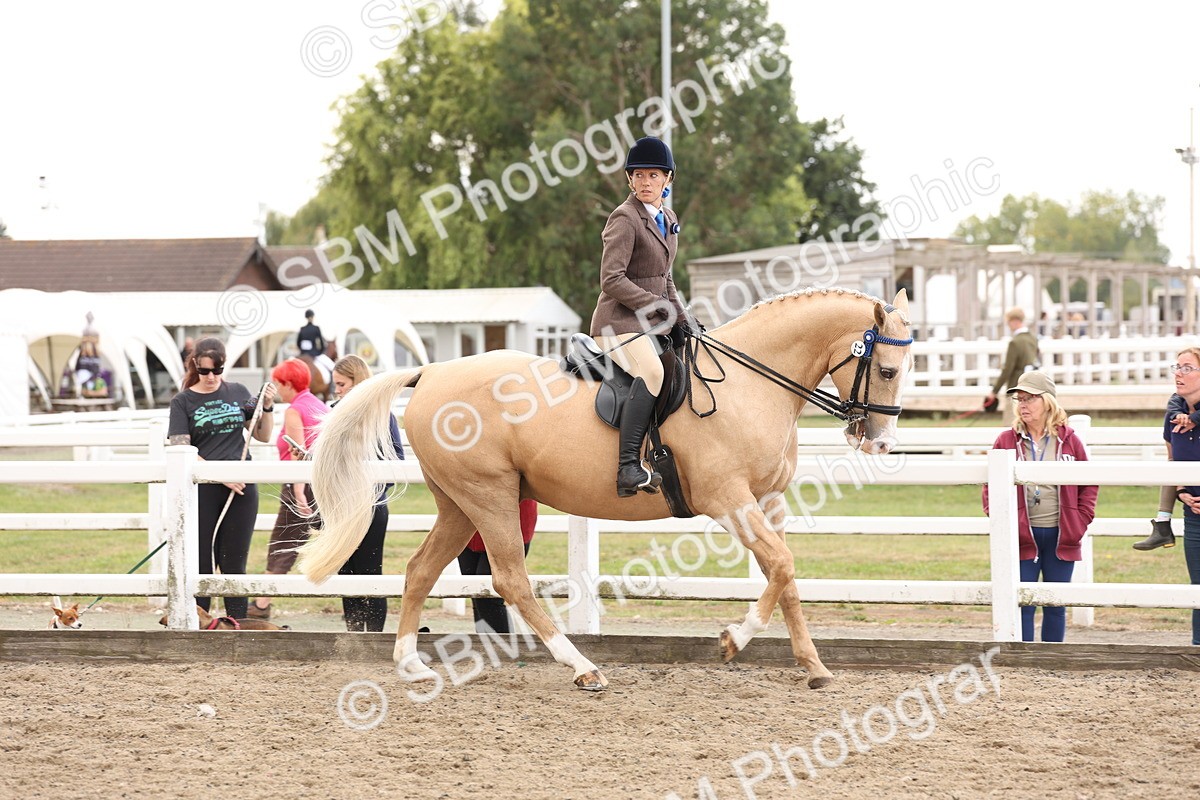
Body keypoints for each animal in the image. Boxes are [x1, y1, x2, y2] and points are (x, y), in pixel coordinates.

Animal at [299, 288, 913, 691]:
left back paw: (411, 664)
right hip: (488, 496)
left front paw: (814, 667)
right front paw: (733, 640)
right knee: (510, 580)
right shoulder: (728, 501)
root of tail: (431, 373)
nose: (882, 443)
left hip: (460, 503)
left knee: (420, 570)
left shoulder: (766, 501)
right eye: (886, 370)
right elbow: (782, 566)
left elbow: (783, 576)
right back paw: (582, 668)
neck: (751, 384)